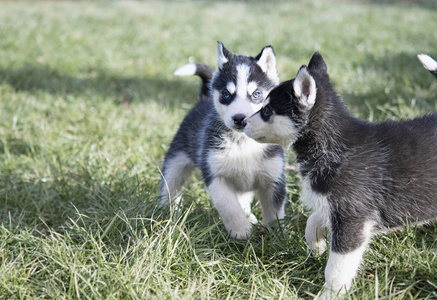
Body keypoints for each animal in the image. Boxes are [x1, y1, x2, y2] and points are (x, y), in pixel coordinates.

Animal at [160, 41, 286, 239]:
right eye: (226, 95)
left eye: (256, 94)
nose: (240, 118)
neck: (243, 143)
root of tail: (203, 98)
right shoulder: (214, 173)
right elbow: (228, 205)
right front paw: (241, 230)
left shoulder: (274, 177)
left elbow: (275, 212)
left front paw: (276, 236)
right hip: (177, 159)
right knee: (170, 183)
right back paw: (168, 210)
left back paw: (249, 216)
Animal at [244, 52, 436, 298]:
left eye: (267, 111)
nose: (242, 122)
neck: (332, 145)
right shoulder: (333, 207)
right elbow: (313, 221)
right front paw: (316, 246)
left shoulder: (351, 219)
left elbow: (337, 267)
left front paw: (329, 294)